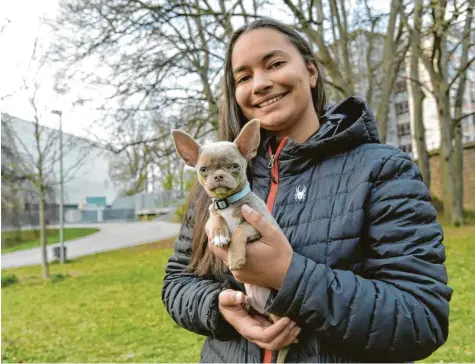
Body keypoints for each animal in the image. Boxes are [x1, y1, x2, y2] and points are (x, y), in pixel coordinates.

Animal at [171, 118, 290, 362]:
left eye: (235, 166)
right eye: (203, 169)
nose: (218, 176)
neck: (228, 202)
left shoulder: (258, 225)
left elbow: (239, 231)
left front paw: (235, 258)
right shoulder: (214, 212)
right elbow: (216, 217)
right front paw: (219, 234)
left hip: (278, 314)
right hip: (252, 304)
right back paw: (242, 302)